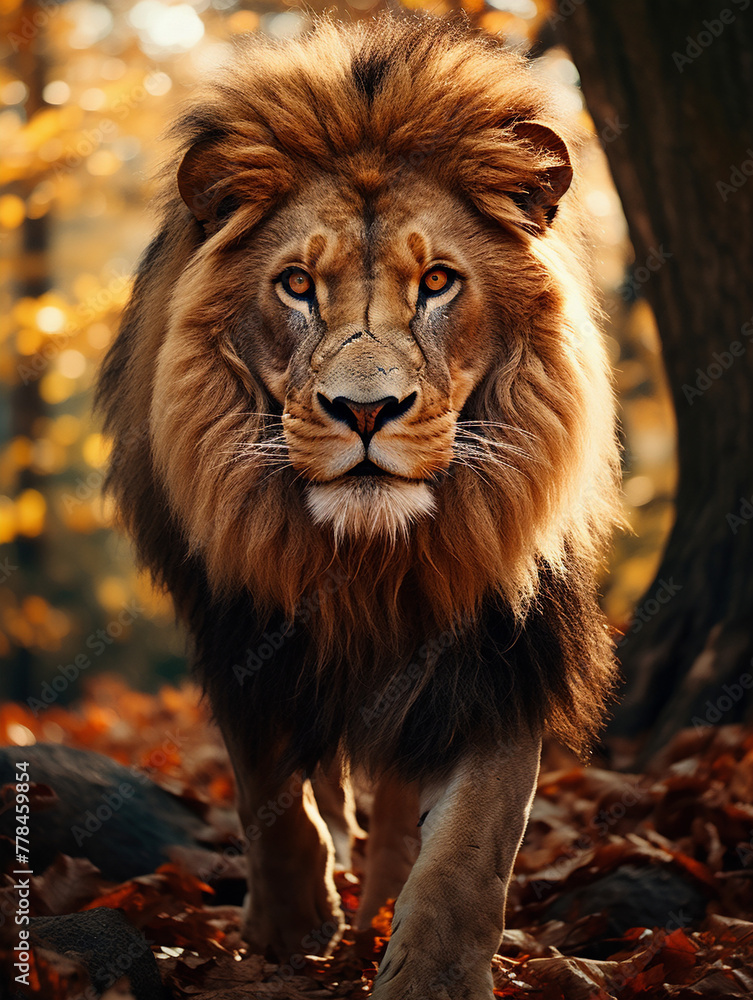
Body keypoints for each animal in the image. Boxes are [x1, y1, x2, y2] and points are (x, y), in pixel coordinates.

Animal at [97, 15, 620, 999]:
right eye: (297, 285)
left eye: (438, 283)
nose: (366, 410)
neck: (370, 562)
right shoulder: (242, 626)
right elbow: (268, 790)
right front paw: (287, 930)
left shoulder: (501, 648)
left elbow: (473, 842)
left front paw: (430, 972)